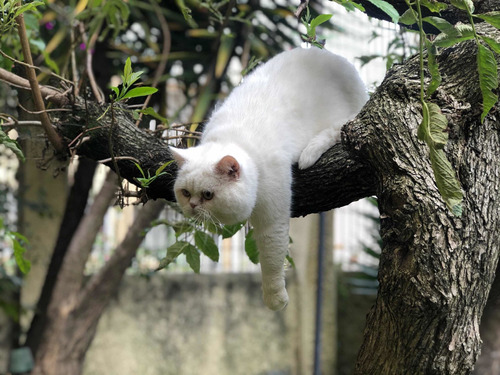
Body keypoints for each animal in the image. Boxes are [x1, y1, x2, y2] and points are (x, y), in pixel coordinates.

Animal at [170, 47, 366, 312]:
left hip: (349, 121)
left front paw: (275, 299)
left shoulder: (273, 220)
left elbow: (272, 261)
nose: (191, 206)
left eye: (208, 195)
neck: (235, 139)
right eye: (186, 193)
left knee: (337, 130)